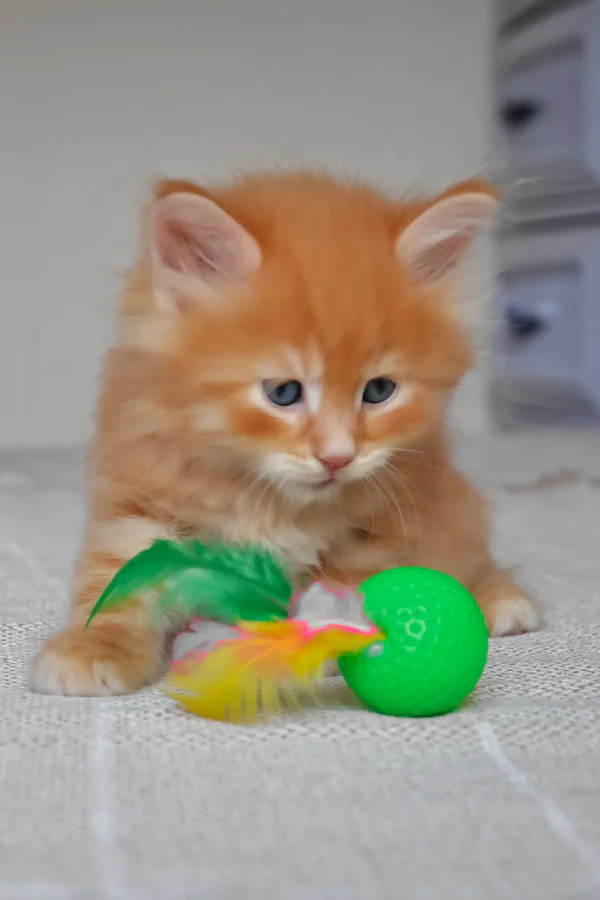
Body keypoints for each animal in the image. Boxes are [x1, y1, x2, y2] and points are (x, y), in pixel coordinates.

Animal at [30, 171, 539, 696]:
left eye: (379, 391)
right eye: (283, 393)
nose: (337, 457)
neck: (267, 498)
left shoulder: (384, 522)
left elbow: (339, 585)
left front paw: (311, 640)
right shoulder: (140, 495)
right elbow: (119, 577)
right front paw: (94, 647)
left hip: (453, 504)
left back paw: (502, 599)